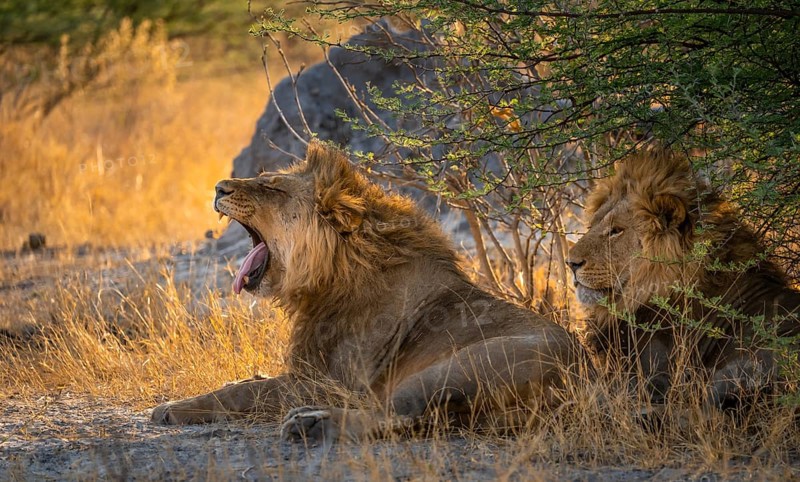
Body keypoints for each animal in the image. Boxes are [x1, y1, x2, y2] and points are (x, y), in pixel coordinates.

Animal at [152, 141, 582, 442]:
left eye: (272, 187)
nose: (218, 188)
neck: (334, 272)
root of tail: (585, 380)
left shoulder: (329, 383)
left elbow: (248, 393)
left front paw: (172, 407)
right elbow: (245, 384)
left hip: (450, 369)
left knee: (394, 413)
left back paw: (311, 425)